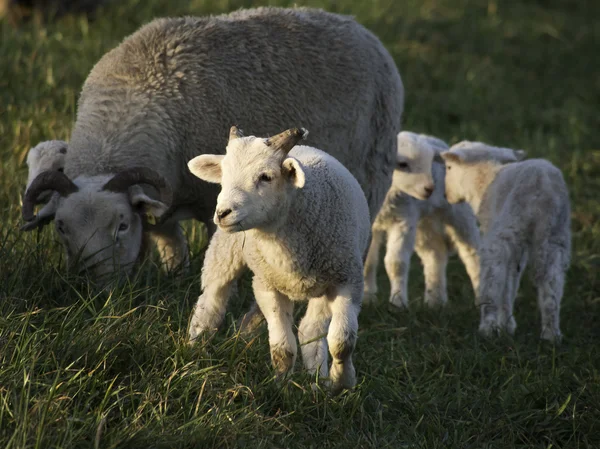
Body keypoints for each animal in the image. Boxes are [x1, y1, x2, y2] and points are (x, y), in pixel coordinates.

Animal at [21, 5, 404, 282]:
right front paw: (175, 278)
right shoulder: (163, 205)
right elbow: (173, 247)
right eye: (61, 228)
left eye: (122, 225)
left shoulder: (214, 203)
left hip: (372, 171)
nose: (89, 283)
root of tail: (356, 26)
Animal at [186, 126, 370, 392]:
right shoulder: (267, 285)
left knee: (310, 330)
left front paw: (342, 382)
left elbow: (342, 342)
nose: (222, 213)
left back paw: (318, 383)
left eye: (266, 177)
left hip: (324, 285)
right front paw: (281, 388)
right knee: (211, 301)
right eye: (223, 173)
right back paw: (194, 347)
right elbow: (283, 348)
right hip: (225, 249)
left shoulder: (348, 280)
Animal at [360, 131, 482, 310]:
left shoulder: (403, 218)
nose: (430, 188)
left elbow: (396, 263)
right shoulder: (371, 221)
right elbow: (368, 262)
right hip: (424, 223)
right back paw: (435, 301)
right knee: (434, 253)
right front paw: (367, 298)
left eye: (429, 164)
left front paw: (398, 302)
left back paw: (481, 298)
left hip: (459, 213)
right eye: (402, 164)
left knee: (472, 254)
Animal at [440, 140, 572, 340]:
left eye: (448, 167)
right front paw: (508, 324)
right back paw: (551, 334)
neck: (483, 180)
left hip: (509, 226)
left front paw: (503, 325)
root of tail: (543, 187)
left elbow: (504, 279)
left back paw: (487, 328)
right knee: (552, 281)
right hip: (555, 235)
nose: (446, 195)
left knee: (493, 276)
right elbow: (511, 281)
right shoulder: (521, 250)